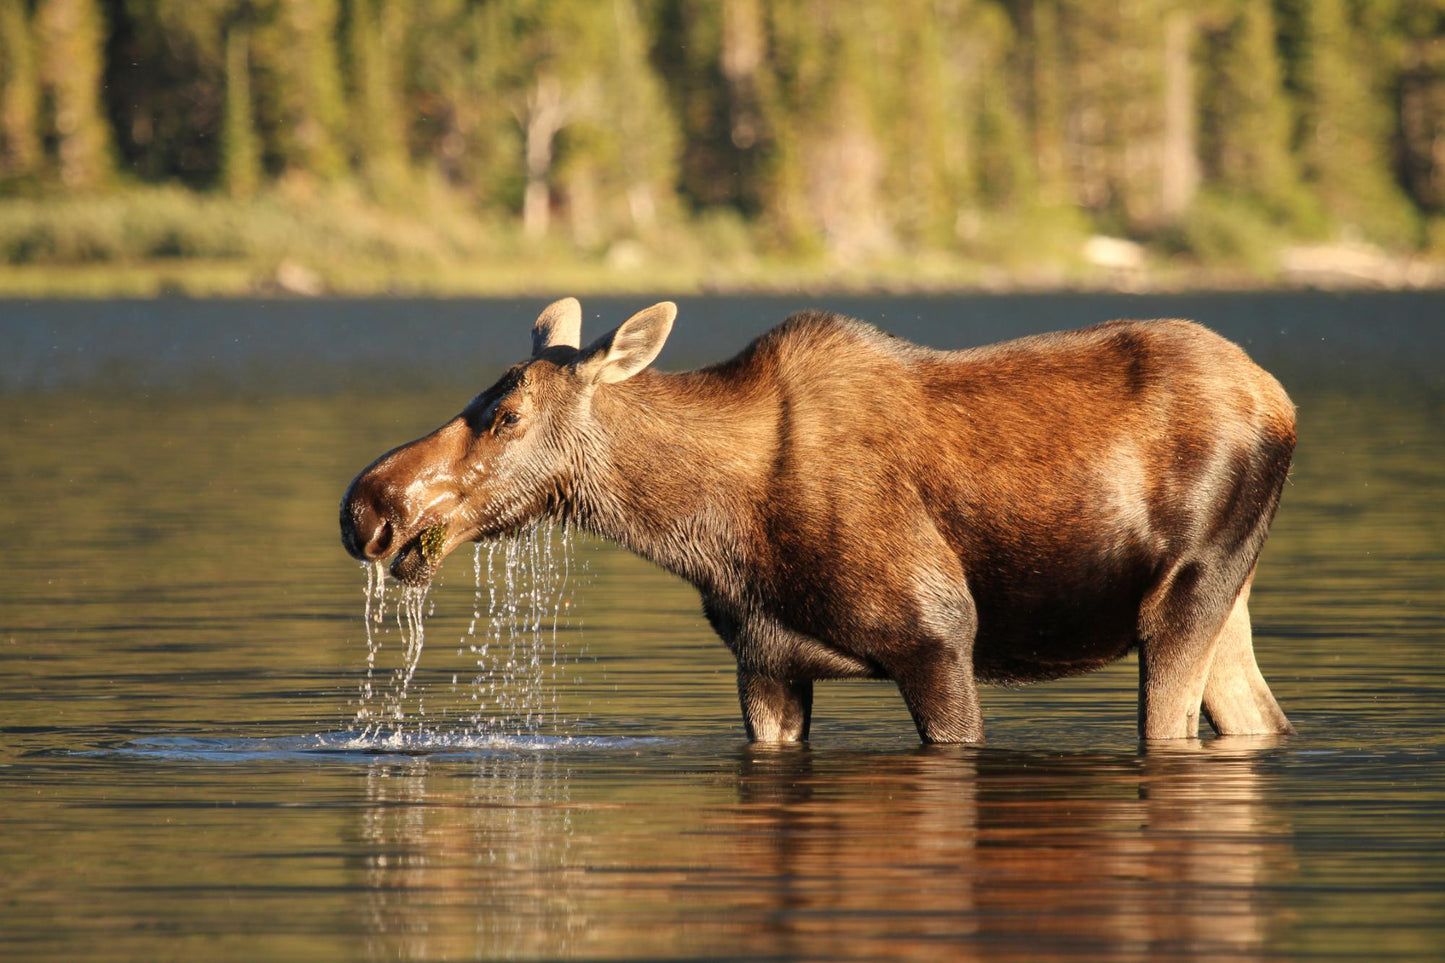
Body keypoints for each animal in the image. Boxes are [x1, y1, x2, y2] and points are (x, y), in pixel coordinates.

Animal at [341, 300, 1300, 740]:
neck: (709, 529)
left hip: (1188, 588)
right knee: (1259, 716)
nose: (367, 507)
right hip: (1232, 594)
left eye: (505, 414)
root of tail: (1281, 401)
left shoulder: (937, 636)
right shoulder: (767, 662)